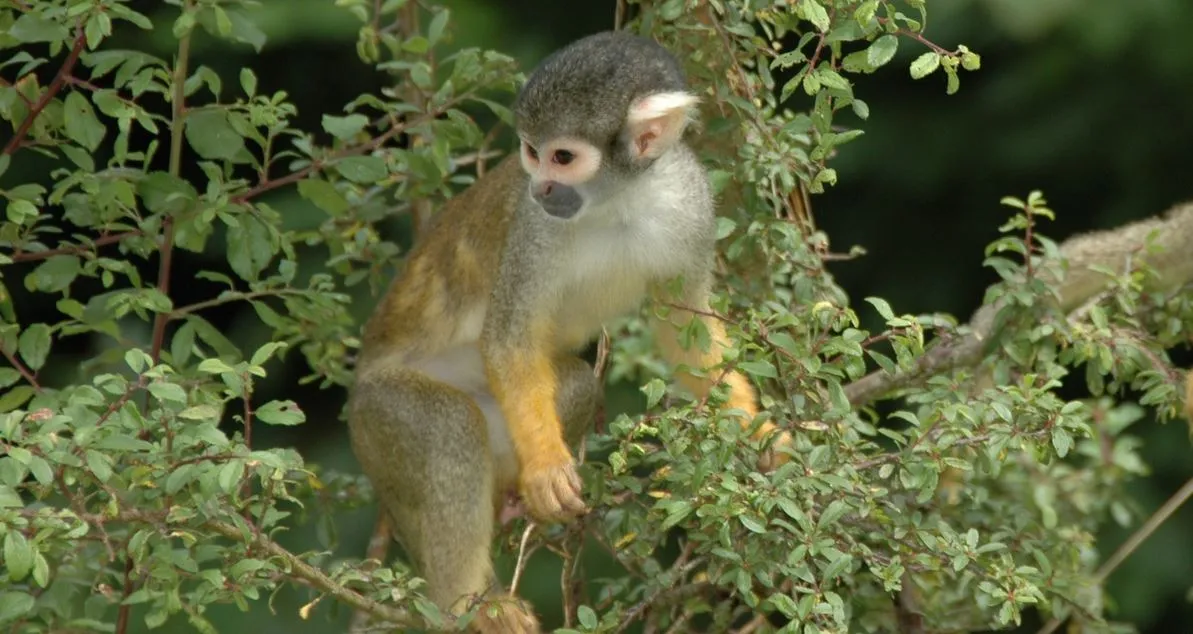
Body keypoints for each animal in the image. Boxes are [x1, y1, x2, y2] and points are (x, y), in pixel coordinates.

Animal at [346, 31, 792, 633]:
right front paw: (545, 469)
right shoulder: (534, 230)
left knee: (579, 384)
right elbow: (510, 338)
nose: (540, 187)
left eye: (563, 157)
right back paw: (470, 602)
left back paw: (508, 506)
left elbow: (686, 331)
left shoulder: (693, 201)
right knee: (447, 425)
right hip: (377, 416)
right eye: (530, 152)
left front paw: (754, 430)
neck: (620, 199)